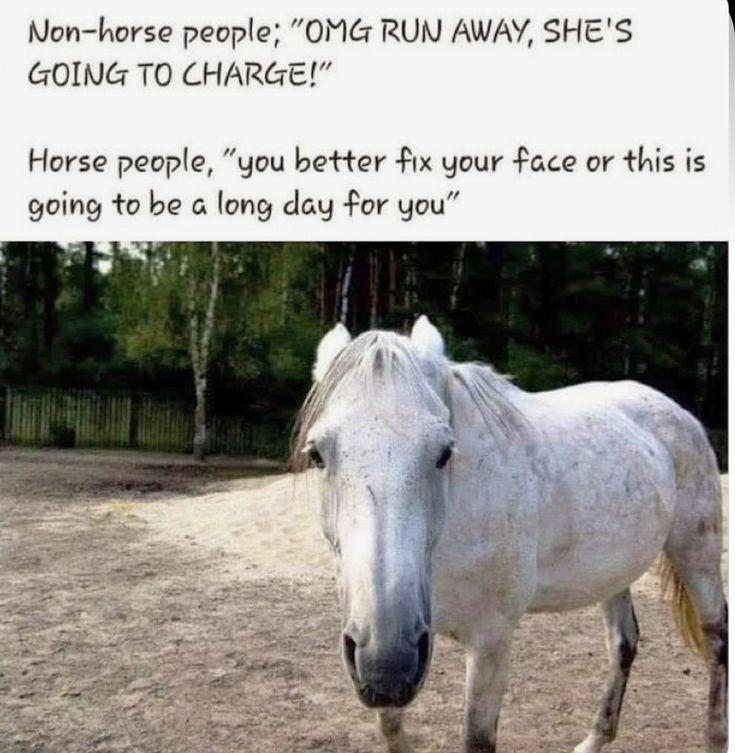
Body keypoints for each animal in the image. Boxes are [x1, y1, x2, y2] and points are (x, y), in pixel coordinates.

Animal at [292, 318, 724, 752]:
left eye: (444, 452)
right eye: (317, 454)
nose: (387, 664)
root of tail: (675, 411)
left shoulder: (490, 643)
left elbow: (477, 738)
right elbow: (391, 728)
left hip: (696, 552)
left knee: (716, 635)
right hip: (612, 574)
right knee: (624, 642)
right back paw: (594, 739)